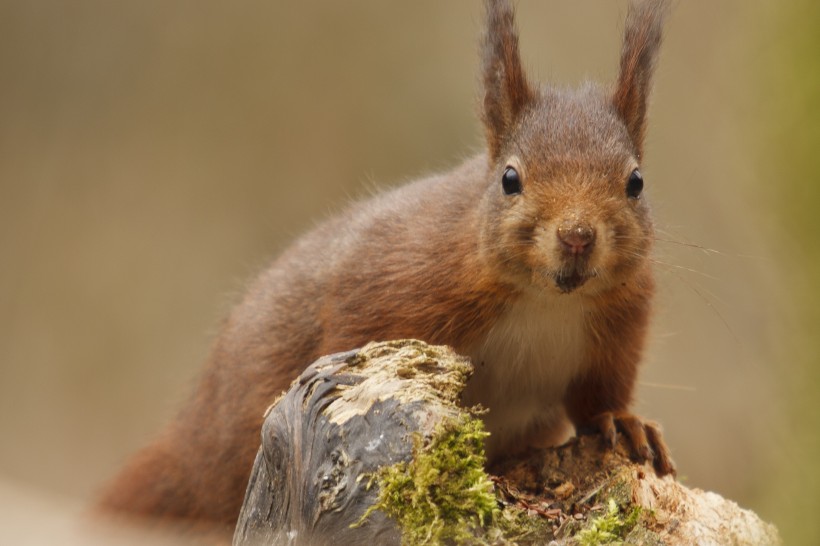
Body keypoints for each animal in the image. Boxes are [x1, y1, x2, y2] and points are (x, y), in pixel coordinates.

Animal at [94, 0, 672, 536]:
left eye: (636, 182)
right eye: (510, 179)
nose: (577, 237)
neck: (545, 300)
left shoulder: (619, 325)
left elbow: (599, 393)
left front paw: (624, 422)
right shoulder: (391, 279)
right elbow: (348, 337)